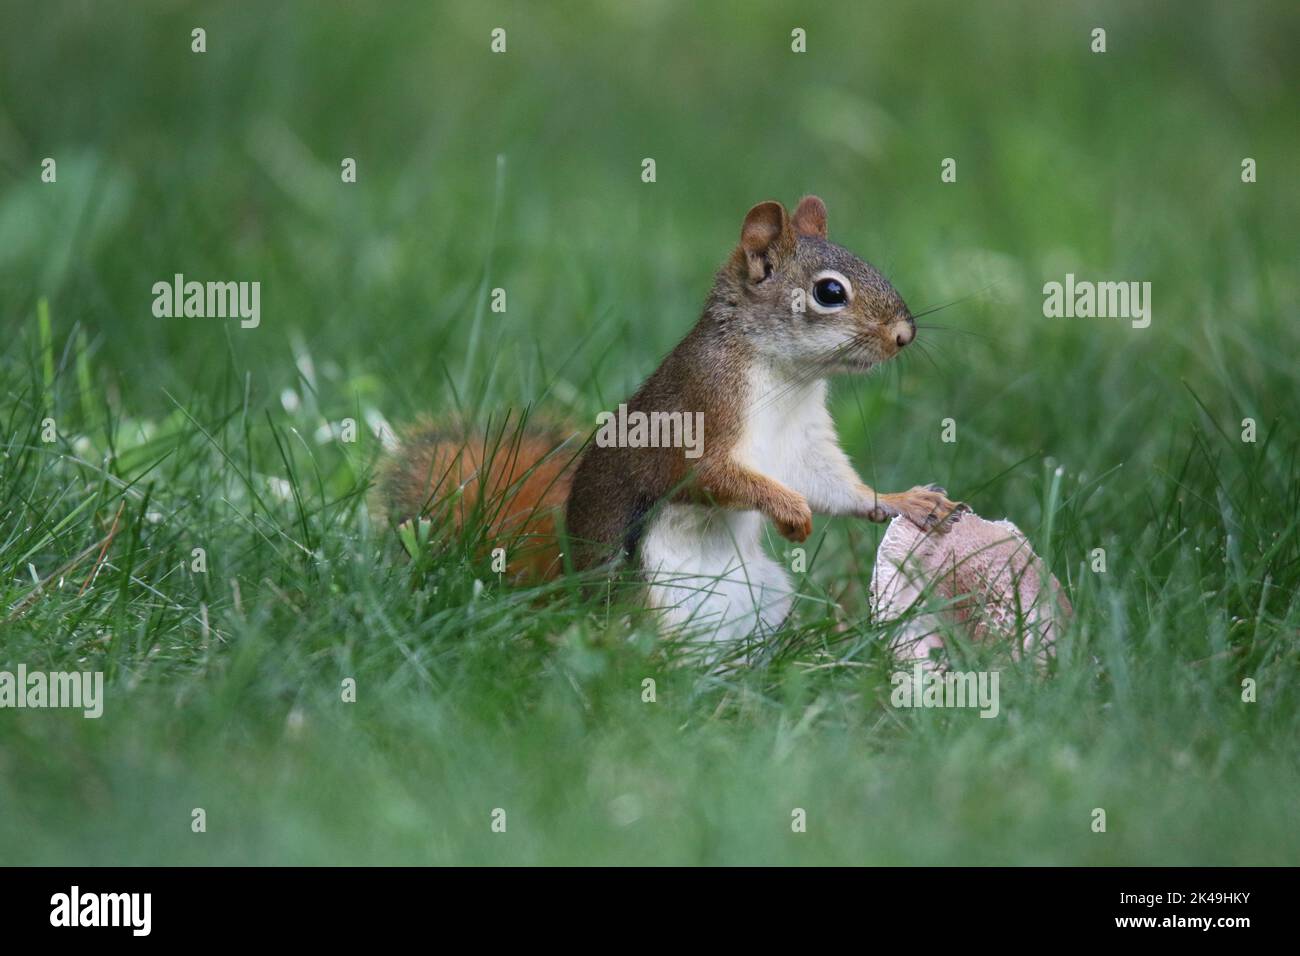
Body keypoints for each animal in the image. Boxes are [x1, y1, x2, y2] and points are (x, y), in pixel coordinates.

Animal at [379, 195, 967, 642]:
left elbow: (831, 485)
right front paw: (790, 511)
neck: (785, 377)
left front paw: (907, 502)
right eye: (829, 292)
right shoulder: (699, 413)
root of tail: (569, 602)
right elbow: (708, 476)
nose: (905, 335)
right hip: (650, 602)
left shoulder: (803, 443)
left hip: (766, 595)